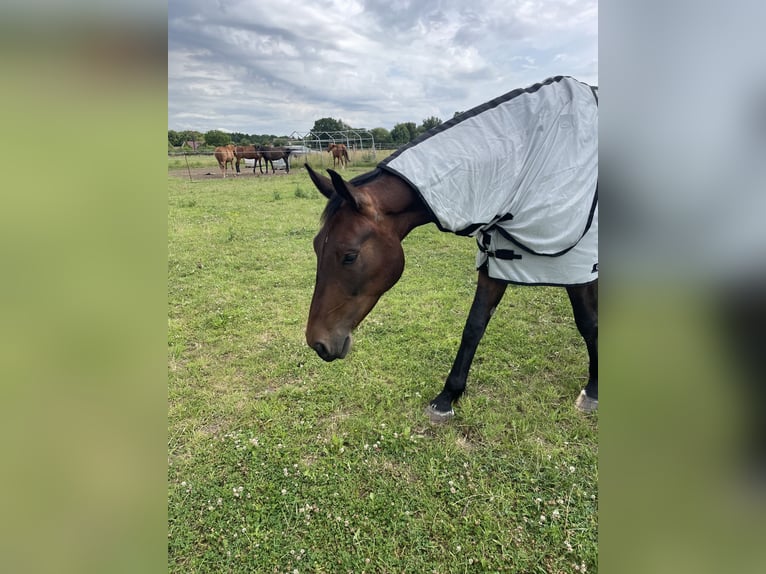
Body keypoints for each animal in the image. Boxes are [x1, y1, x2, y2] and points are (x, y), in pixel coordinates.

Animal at [303, 76, 598, 422]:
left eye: (349, 255)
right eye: (316, 247)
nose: (317, 342)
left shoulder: (576, 265)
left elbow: (588, 322)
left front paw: (593, 389)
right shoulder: (497, 258)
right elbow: (474, 325)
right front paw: (447, 396)